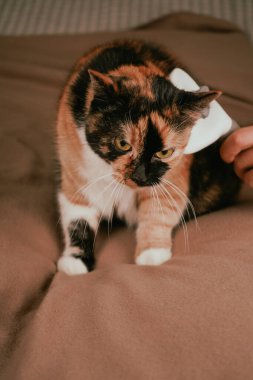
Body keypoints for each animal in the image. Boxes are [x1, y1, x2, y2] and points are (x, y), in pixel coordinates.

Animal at [56, 40, 240, 274]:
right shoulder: (77, 171)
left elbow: (159, 208)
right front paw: (75, 261)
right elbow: (77, 214)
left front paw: (152, 254)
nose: (141, 177)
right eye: (122, 144)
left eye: (165, 152)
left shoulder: (171, 177)